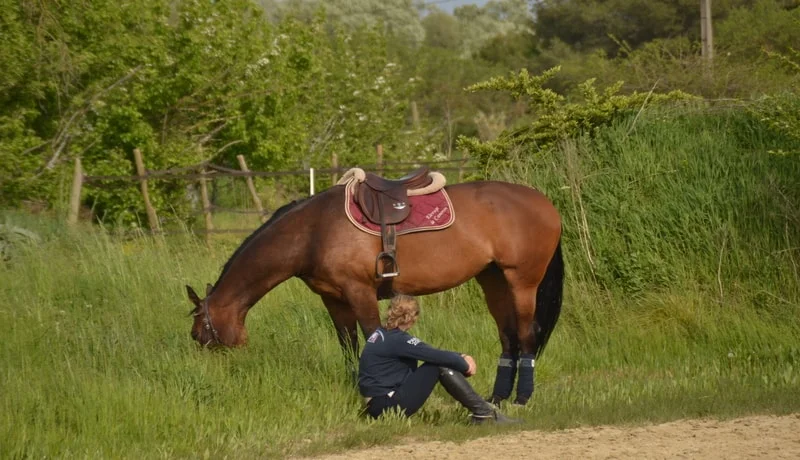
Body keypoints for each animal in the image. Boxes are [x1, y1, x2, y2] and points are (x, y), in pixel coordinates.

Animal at [186, 173, 563, 405]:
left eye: (198, 335)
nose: (214, 376)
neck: (312, 231)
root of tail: (545, 203)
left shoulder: (360, 292)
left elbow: (372, 338)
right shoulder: (335, 300)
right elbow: (349, 346)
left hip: (522, 282)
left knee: (527, 335)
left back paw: (522, 398)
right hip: (493, 281)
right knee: (508, 338)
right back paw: (497, 398)